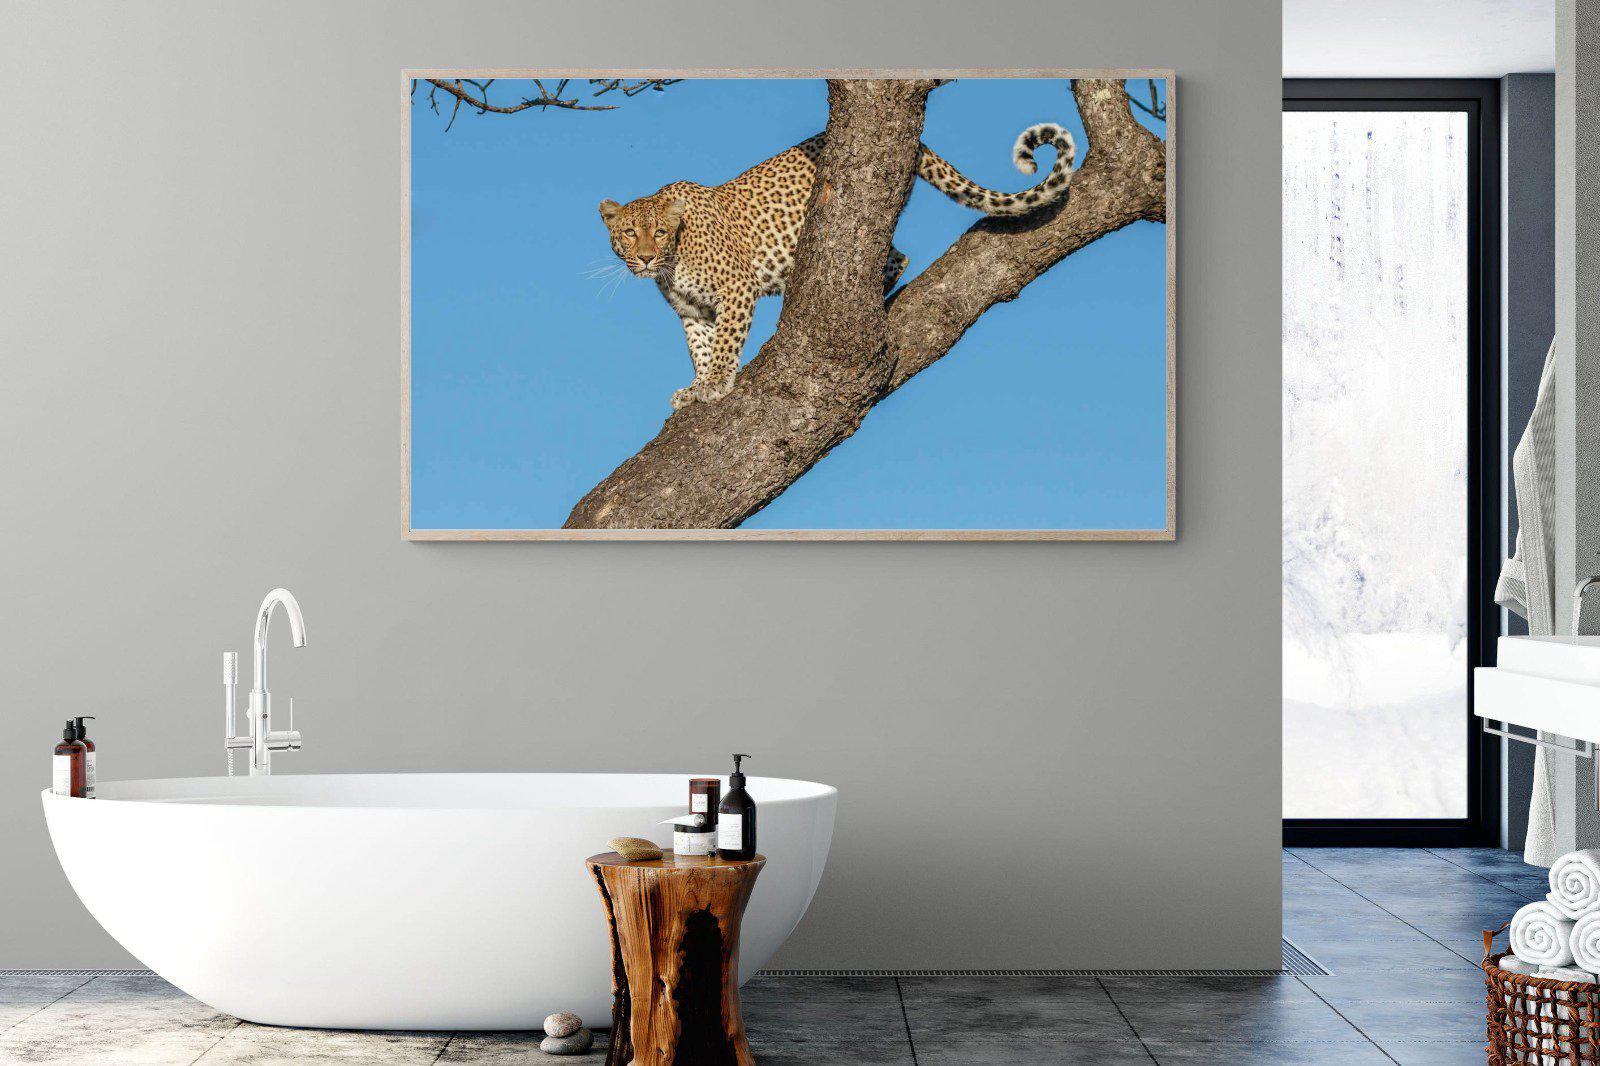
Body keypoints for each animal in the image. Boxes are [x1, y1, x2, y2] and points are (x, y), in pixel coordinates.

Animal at [598, 122, 1076, 410]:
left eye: (660, 232)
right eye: (629, 233)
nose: (645, 256)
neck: (673, 261)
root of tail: (916, 143)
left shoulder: (737, 289)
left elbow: (725, 345)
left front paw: (716, 382)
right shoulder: (693, 311)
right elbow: (700, 347)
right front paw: (695, 387)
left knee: (894, 258)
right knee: (897, 256)